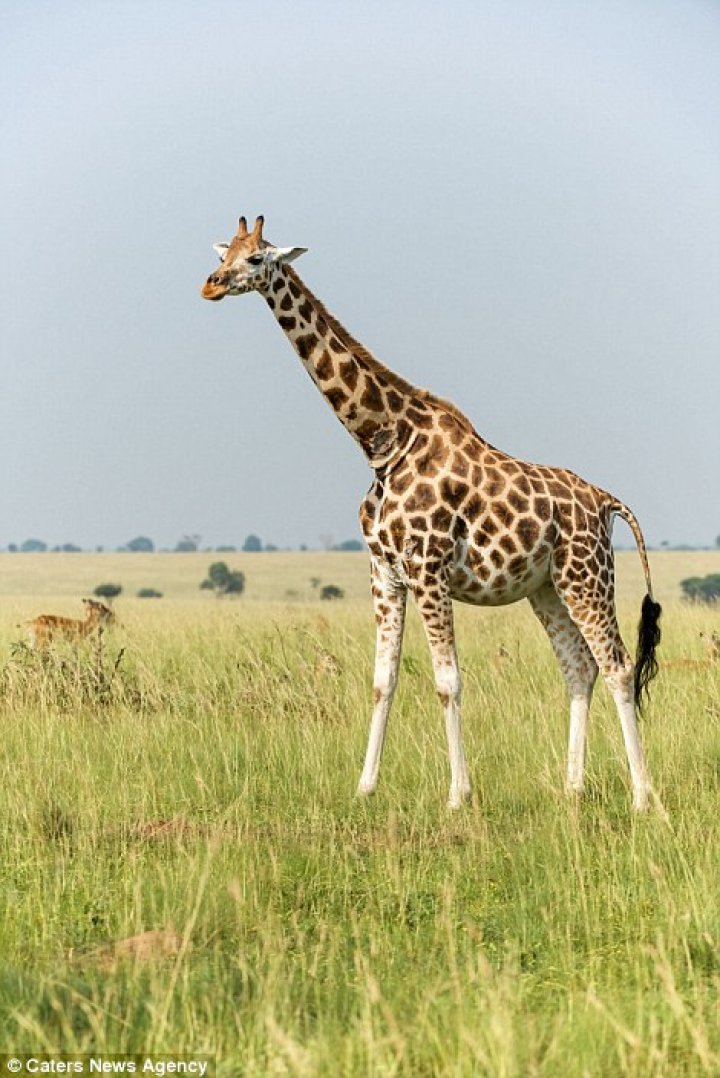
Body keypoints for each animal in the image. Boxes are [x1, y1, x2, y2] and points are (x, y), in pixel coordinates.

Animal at [199, 216, 659, 810]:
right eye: (224, 252)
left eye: (256, 259)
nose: (210, 284)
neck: (382, 442)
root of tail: (606, 501)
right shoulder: (385, 573)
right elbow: (383, 681)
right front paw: (365, 787)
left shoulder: (428, 568)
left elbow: (447, 682)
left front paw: (458, 796)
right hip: (547, 585)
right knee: (579, 667)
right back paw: (571, 789)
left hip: (587, 576)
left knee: (618, 666)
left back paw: (642, 797)